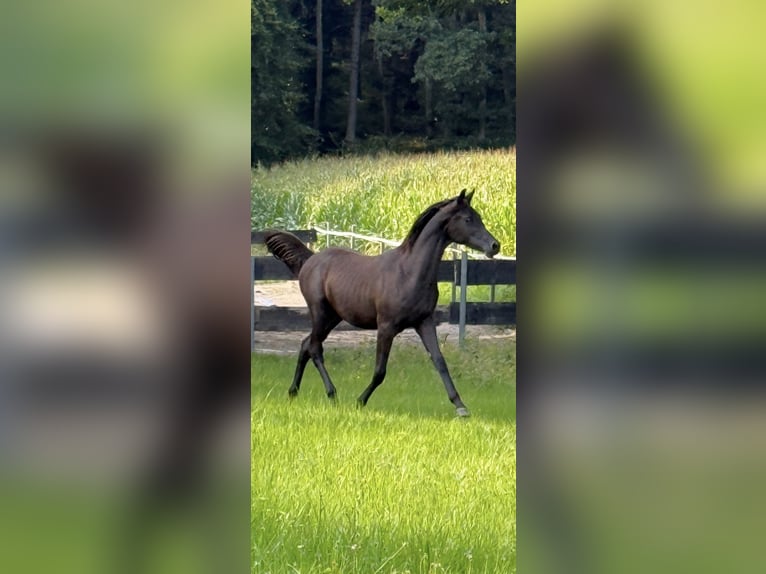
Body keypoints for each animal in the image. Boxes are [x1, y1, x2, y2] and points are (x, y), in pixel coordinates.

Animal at [264, 189, 500, 417]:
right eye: (468, 219)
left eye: (479, 217)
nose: (495, 245)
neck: (409, 273)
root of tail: (310, 260)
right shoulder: (386, 327)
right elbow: (380, 371)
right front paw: (360, 401)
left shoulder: (424, 322)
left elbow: (440, 361)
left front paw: (460, 406)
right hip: (320, 314)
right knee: (314, 348)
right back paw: (332, 394)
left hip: (333, 317)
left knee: (306, 344)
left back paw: (293, 392)